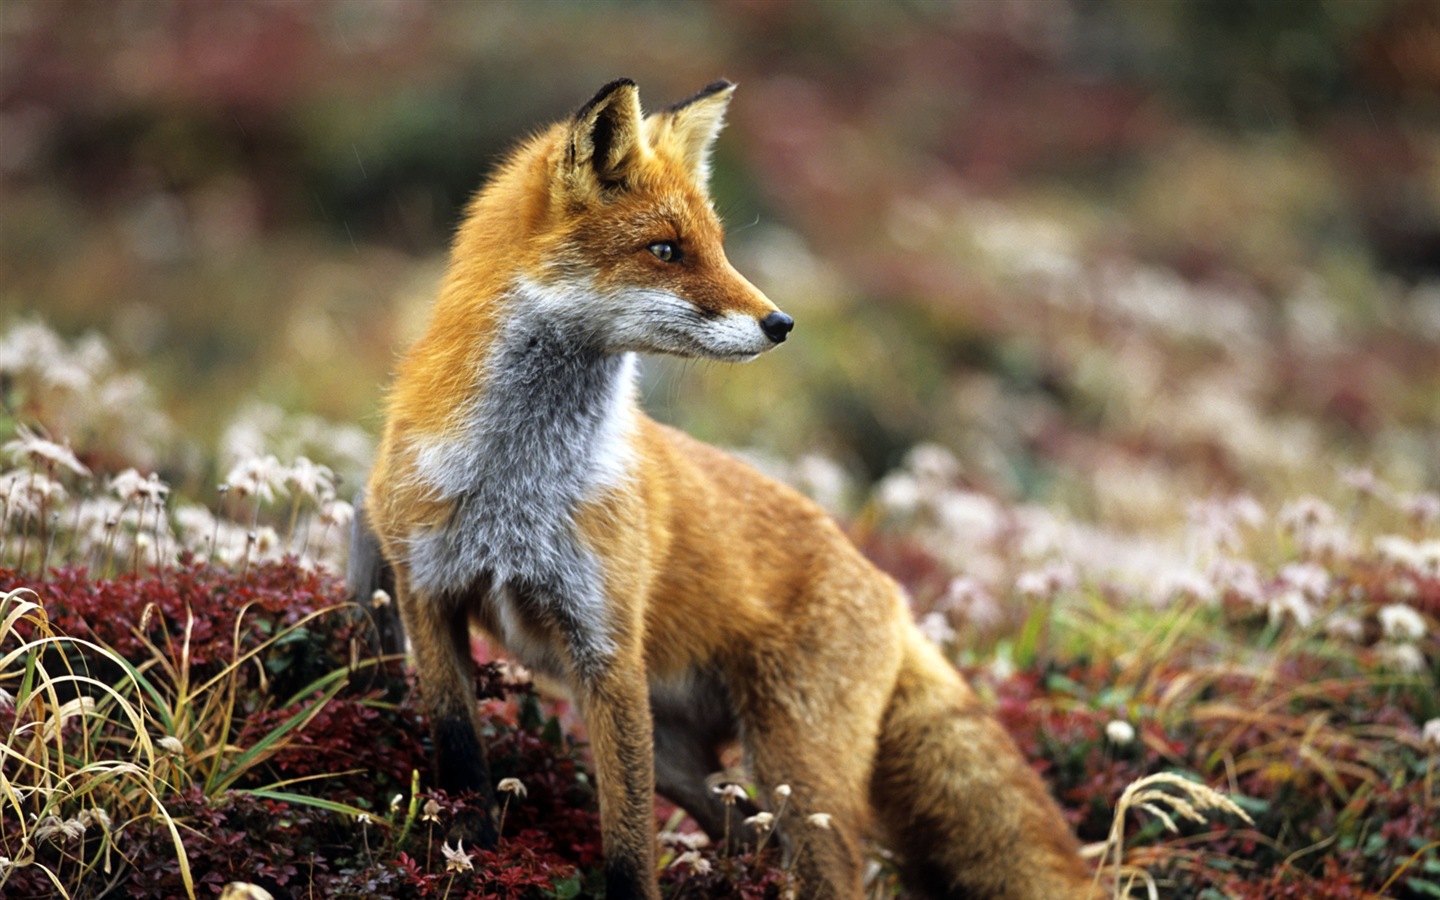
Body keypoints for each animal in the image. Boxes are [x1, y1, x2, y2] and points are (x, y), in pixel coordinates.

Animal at [351, 78, 1088, 898]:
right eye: (665, 249)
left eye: (717, 245)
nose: (781, 322)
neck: (516, 483)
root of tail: (891, 590)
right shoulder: (428, 592)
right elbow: (459, 753)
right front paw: (469, 851)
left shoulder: (606, 647)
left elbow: (629, 842)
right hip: (693, 762)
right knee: (746, 836)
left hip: (796, 773)